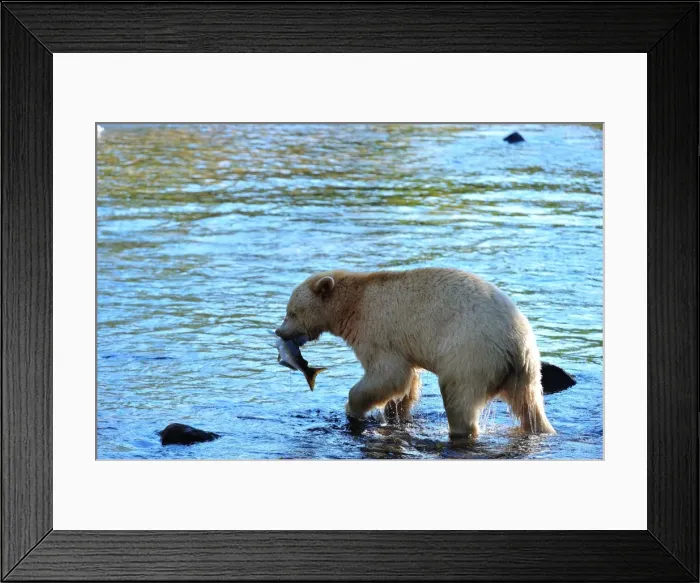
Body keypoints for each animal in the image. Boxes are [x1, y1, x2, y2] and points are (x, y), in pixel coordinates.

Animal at [275, 268, 554, 437]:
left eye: (291, 312)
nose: (279, 331)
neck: (354, 303)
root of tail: (515, 344)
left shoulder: (376, 330)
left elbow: (387, 375)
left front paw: (354, 408)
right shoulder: (403, 345)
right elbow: (407, 382)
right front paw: (395, 413)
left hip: (470, 353)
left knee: (458, 396)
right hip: (526, 371)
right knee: (529, 406)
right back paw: (542, 429)